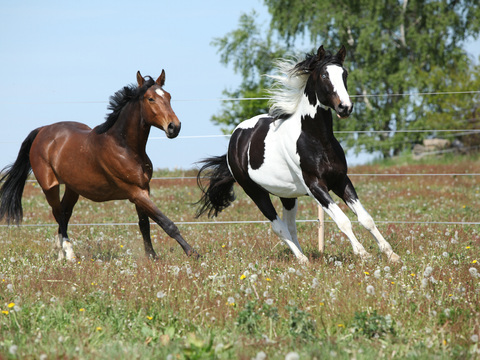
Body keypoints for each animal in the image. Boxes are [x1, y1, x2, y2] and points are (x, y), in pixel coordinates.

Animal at [0, 71, 199, 262]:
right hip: (49, 186)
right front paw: (193, 253)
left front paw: (152, 257)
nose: (174, 127)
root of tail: (42, 130)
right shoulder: (134, 192)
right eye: (151, 99)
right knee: (58, 213)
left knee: (64, 212)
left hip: (73, 188)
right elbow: (166, 223)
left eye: (169, 96)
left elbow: (145, 224)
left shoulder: (144, 189)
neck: (125, 147)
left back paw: (60, 253)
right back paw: (69, 253)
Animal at [196, 45, 402, 264]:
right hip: (255, 192)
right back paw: (302, 260)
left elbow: (366, 218)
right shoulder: (316, 187)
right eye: (324, 75)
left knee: (290, 226)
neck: (316, 140)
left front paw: (391, 254)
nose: (345, 107)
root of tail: (235, 139)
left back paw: (304, 258)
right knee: (278, 226)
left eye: (344, 73)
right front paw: (363, 253)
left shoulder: (341, 180)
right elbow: (343, 220)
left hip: (287, 195)